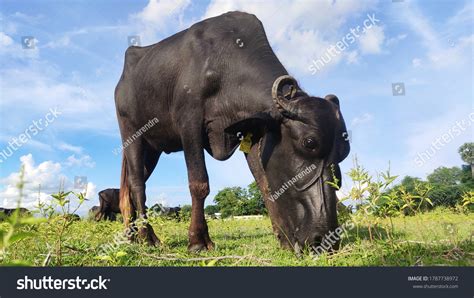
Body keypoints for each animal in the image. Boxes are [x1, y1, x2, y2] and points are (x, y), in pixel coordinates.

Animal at [115, 11, 348, 251]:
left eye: (343, 153)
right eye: (309, 142)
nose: (325, 239)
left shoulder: (253, 132)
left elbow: (264, 184)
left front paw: (282, 238)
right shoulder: (189, 123)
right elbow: (199, 183)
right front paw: (198, 240)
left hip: (153, 149)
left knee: (132, 184)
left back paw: (131, 235)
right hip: (131, 135)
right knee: (137, 184)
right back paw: (147, 236)